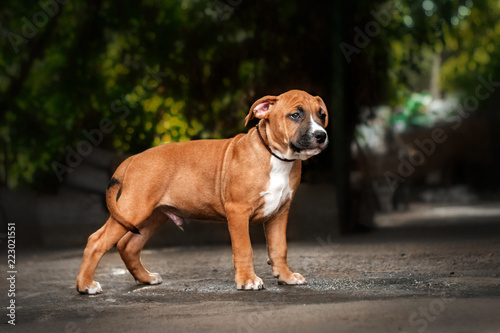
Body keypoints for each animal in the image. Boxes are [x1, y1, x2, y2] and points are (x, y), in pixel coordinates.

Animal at [75, 89, 328, 294]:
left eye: (322, 115)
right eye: (295, 115)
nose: (321, 135)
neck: (276, 156)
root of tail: (134, 158)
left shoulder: (279, 213)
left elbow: (278, 248)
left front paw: (286, 276)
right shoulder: (238, 212)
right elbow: (244, 249)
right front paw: (247, 280)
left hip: (152, 216)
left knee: (128, 245)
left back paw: (145, 278)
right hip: (134, 208)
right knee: (96, 241)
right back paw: (85, 286)